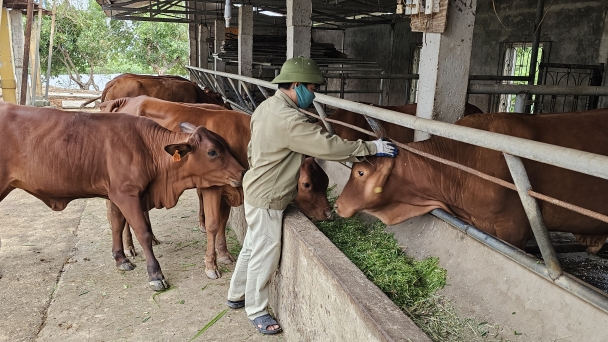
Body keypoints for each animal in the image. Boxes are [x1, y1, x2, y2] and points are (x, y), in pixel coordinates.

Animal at [0, 102, 242, 292]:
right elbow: (142, 231)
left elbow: (116, 224)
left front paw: (121, 258)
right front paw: (156, 275)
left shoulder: (115, 193)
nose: (241, 172)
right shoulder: (126, 194)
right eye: (212, 152)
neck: (146, 147)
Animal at [102, 95, 334, 278]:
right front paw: (210, 266)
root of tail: (127, 100)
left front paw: (223, 255)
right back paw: (128, 249)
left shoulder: (230, 187)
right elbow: (213, 224)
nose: (329, 213)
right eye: (307, 184)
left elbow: (222, 221)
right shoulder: (212, 187)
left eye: (326, 180)